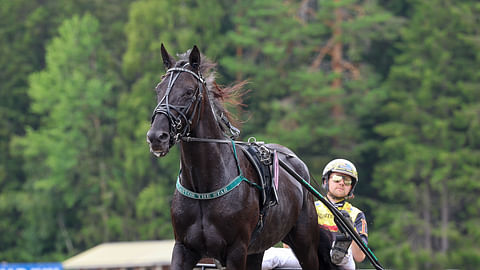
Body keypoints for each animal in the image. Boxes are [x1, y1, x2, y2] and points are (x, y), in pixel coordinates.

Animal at [146, 44, 338, 270]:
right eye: (158, 89)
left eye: (188, 92)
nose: (156, 136)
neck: (204, 187)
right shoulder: (184, 248)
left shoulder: (236, 250)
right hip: (258, 248)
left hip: (304, 241)